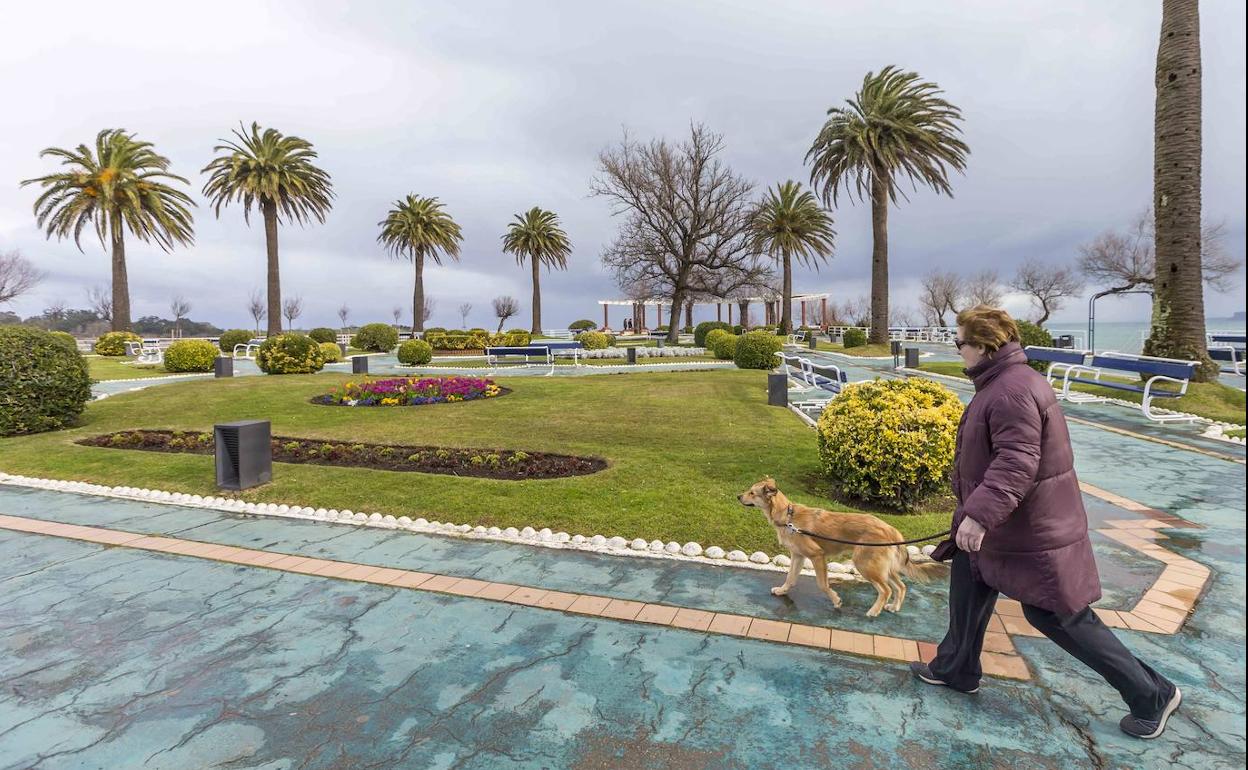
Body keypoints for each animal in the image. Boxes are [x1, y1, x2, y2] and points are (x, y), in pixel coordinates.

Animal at [733, 476, 938, 616]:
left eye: (752, 493)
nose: (738, 496)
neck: (787, 516)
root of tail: (890, 529)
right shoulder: (798, 556)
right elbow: (790, 578)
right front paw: (782, 590)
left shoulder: (817, 555)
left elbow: (822, 584)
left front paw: (836, 600)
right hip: (881, 567)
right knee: (901, 586)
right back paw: (894, 607)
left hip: (865, 564)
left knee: (886, 589)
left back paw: (874, 611)